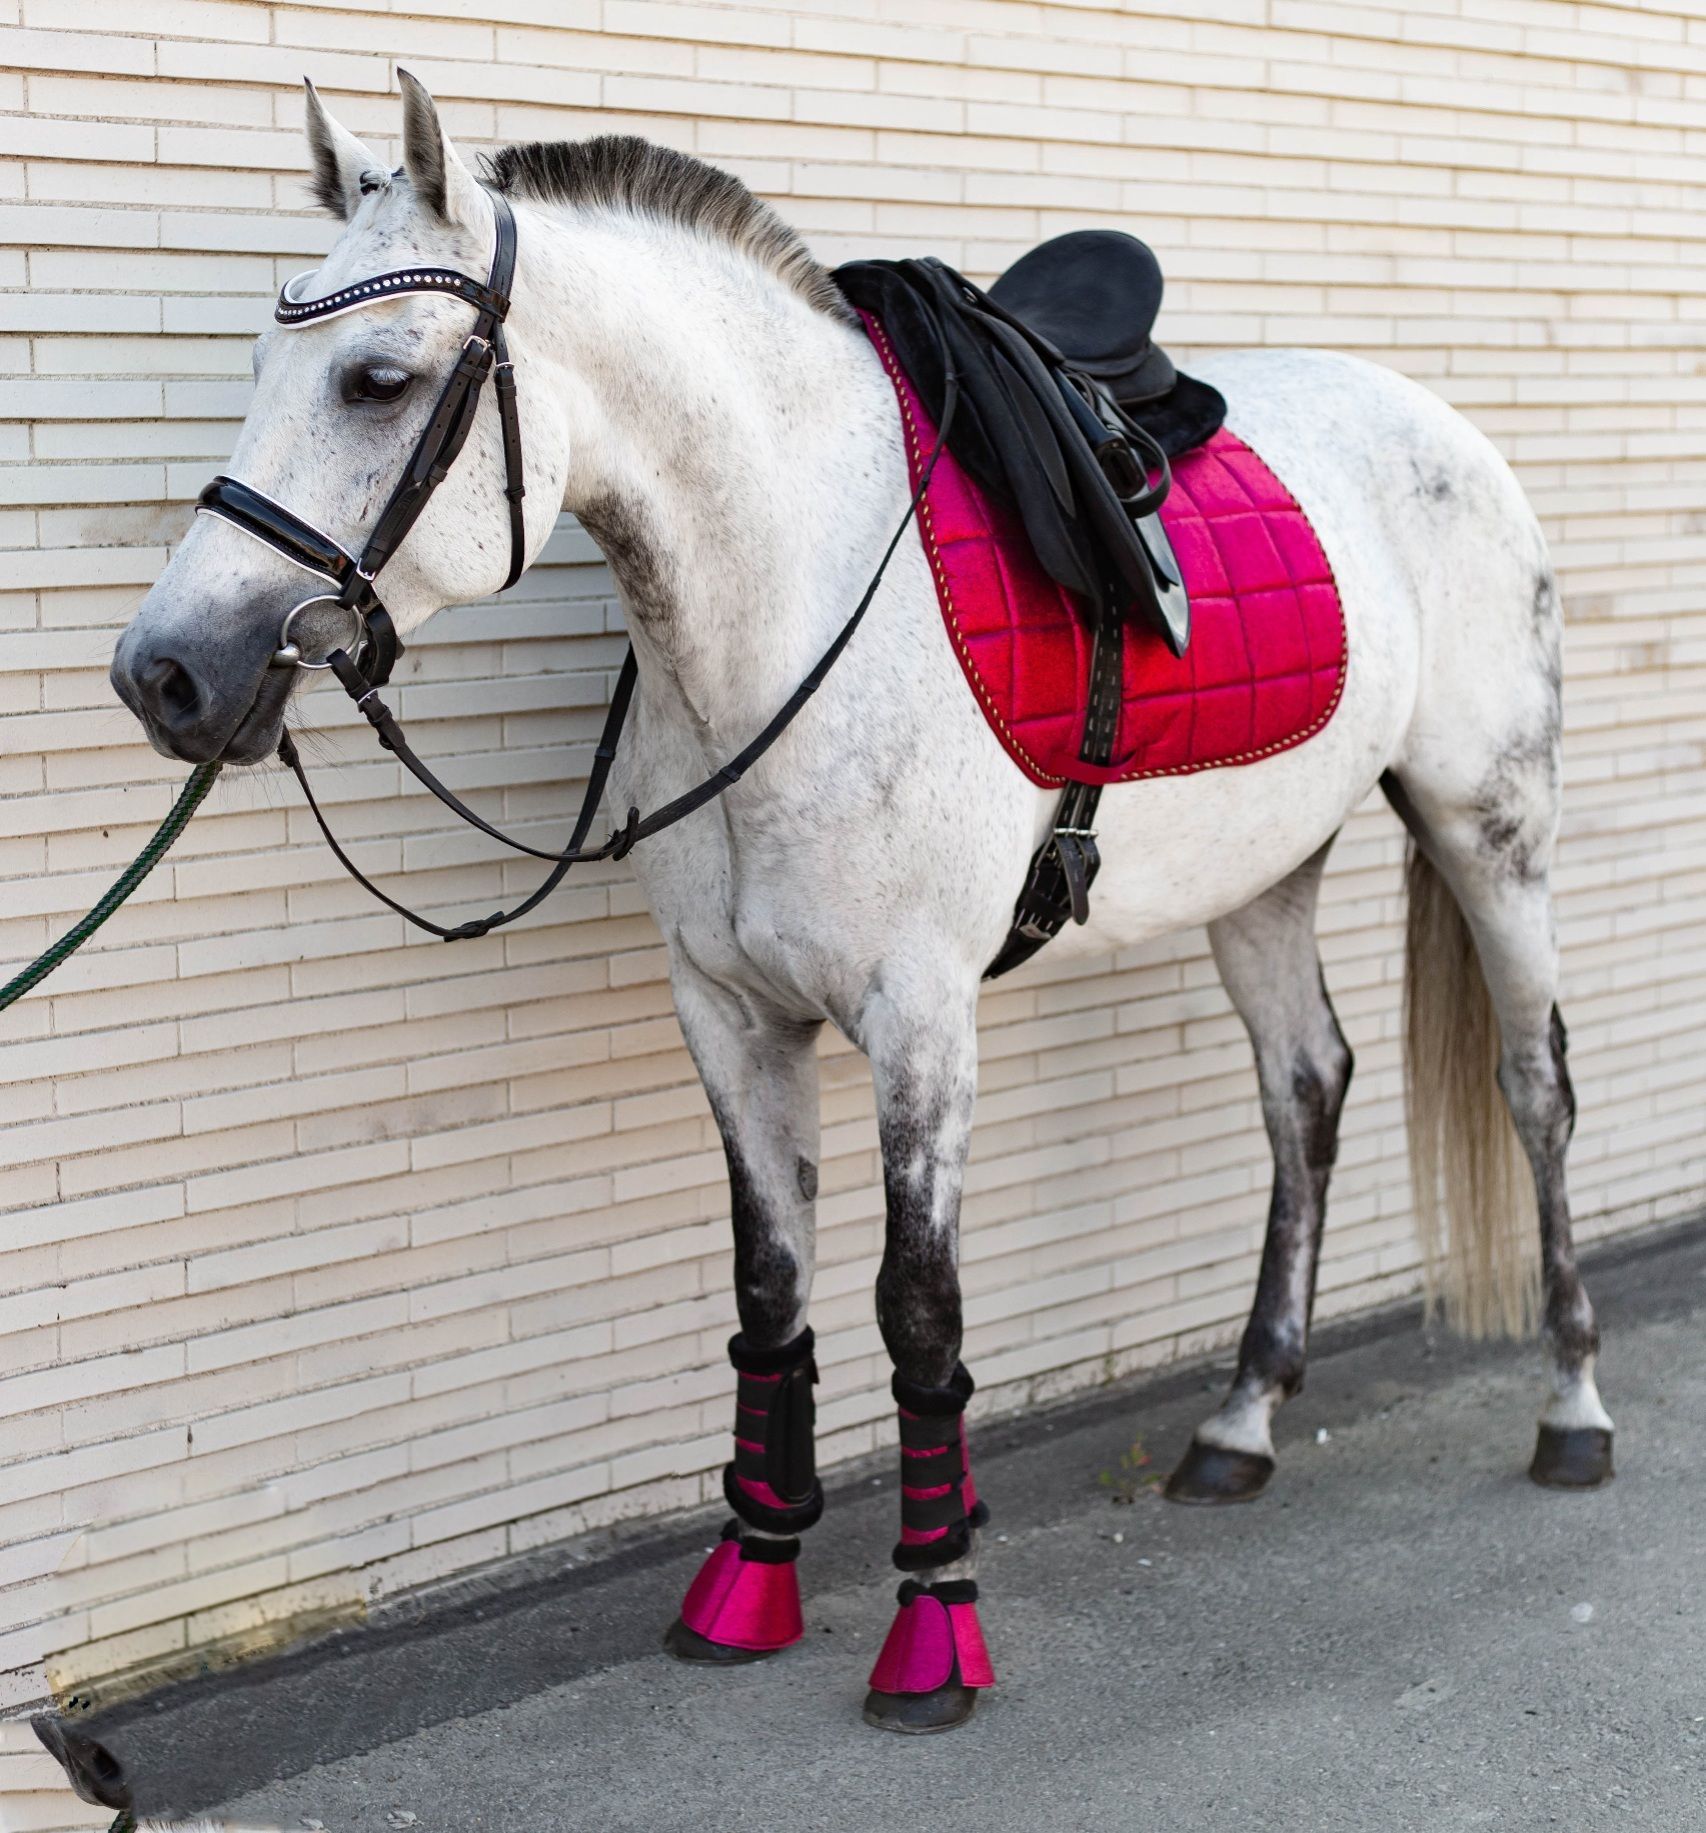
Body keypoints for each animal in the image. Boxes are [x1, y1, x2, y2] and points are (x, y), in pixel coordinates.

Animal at [109, 75, 1612, 1730]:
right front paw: (749, 1577)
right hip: (1264, 870)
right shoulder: (728, 1013)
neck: (794, 601)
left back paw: (1571, 1407)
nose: (166, 674)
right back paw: (1237, 1422)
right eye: (263, 364)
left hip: (1492, 823)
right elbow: (772, 1287)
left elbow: (918, 1310)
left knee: (1532, 1084)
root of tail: (1443, 426)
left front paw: (933, 1621)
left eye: (377, 379)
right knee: (1306, 1087)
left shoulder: (918, 1018)